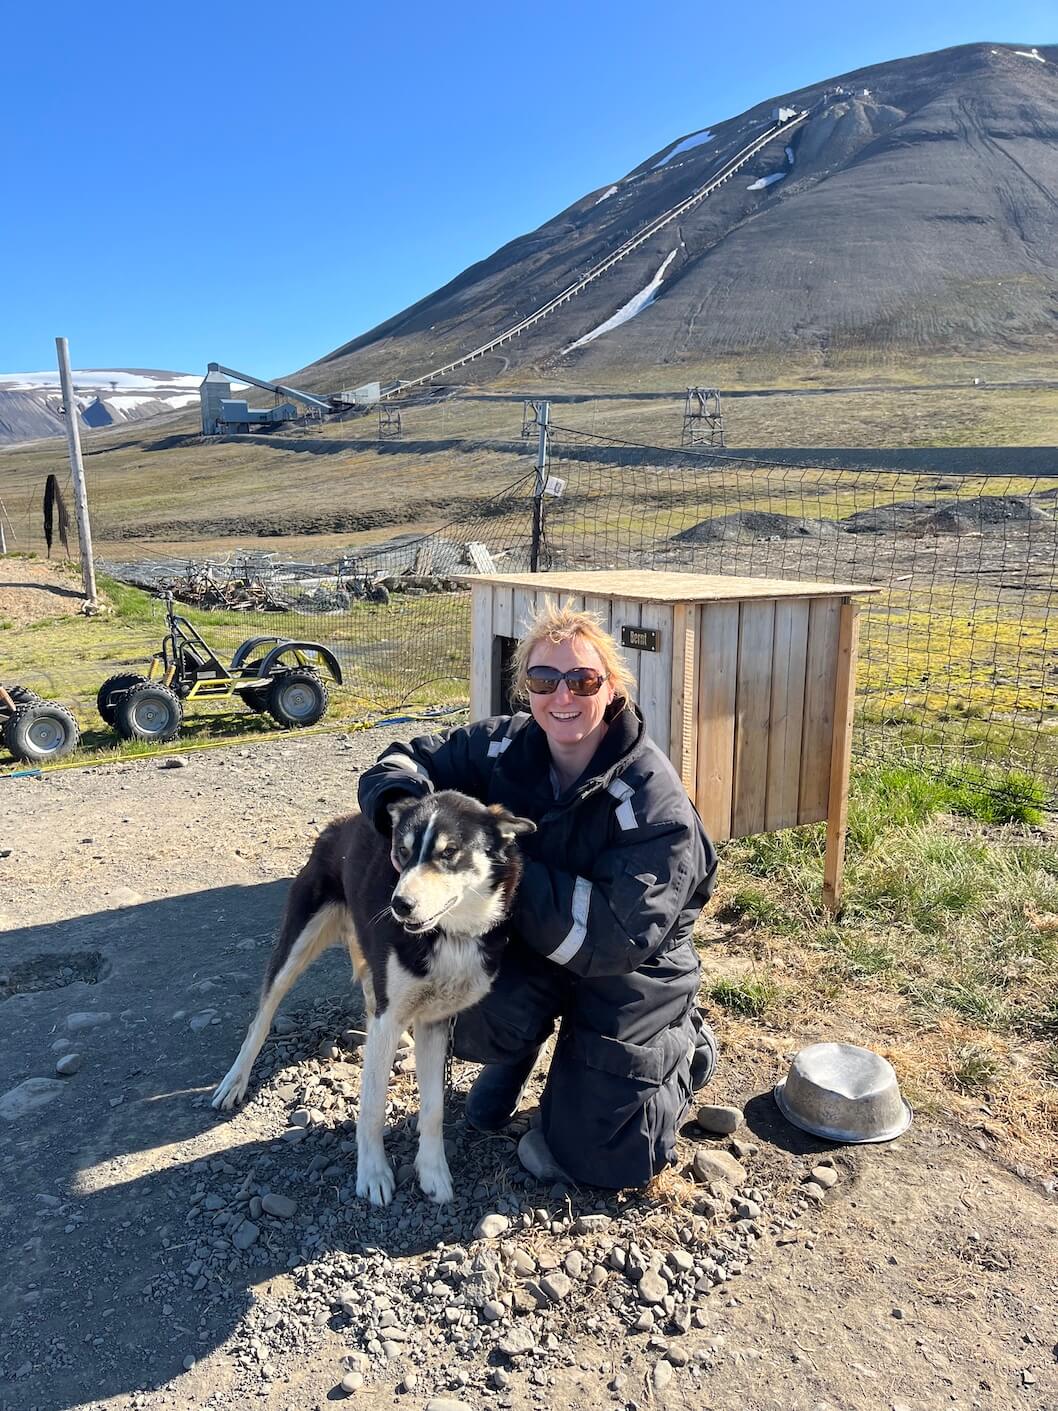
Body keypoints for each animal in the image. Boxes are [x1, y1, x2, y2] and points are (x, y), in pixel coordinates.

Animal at [211, 790, 533, 1207]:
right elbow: (373, 1106)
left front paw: (433, 1171)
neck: (450, 935)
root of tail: (341, 821)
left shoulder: (433, 1019)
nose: (399, 905)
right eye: (402, 851)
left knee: (369, 991)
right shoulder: (391, 1014)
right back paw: (235, 1081)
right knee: (262, 1018)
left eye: (449, 852)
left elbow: (433, 1108)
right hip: (297, 944)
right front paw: (373, 1173)